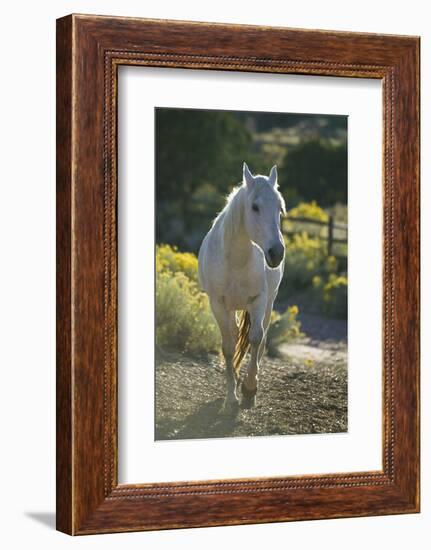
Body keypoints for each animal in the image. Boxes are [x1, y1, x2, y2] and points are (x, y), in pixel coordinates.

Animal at [199, 164, 286, 410]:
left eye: (280, 208)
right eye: (255, 207)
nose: (276, 253)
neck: (236, 260)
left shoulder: (258, 300)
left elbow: (256, 338)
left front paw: (249, 390)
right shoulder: (218, 304)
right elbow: (229, 346)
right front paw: (231, 397)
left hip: (269, 303)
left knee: (261, 339)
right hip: (232, 308)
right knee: (236, 333)